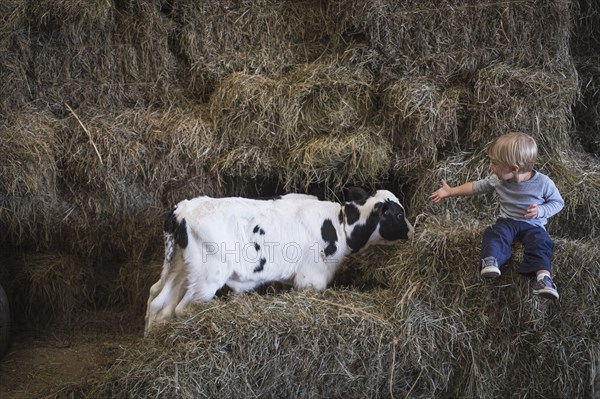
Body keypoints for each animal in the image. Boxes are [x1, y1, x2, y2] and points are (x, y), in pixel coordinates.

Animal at [145, 189, 412, 332]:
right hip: (207, 278)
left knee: (158, 302)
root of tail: (184, 208)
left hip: (180, 269)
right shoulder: (311, 279)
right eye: (399, 215)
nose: (411, 230)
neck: (340, 224)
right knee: (180, 308)